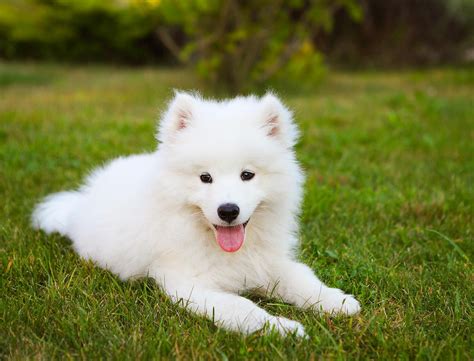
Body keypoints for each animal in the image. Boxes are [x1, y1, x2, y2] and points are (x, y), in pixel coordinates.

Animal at [32, 91, 360, 336]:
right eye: (205, 177)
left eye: (247, 175)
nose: (228, 210)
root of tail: (80, 201)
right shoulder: (188, 284)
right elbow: (242, 308)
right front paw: (283, 329)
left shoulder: (268, 263)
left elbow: (303, 279)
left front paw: (337, 301)